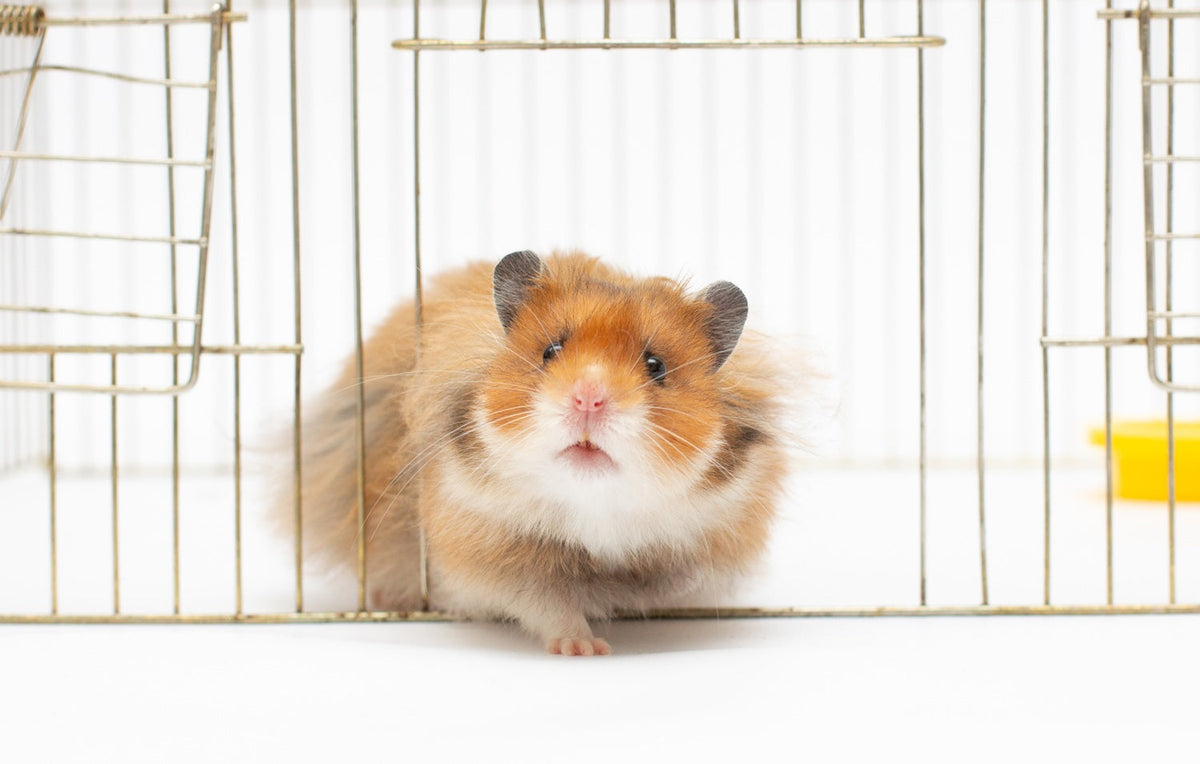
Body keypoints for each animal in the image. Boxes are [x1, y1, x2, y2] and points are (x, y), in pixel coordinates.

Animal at [285, 251, 791, 655]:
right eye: (550, 350)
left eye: (656, 366)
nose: (588, 399)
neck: (594, 508)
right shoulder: (493, 553)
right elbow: (550, 606)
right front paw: (585, 649)